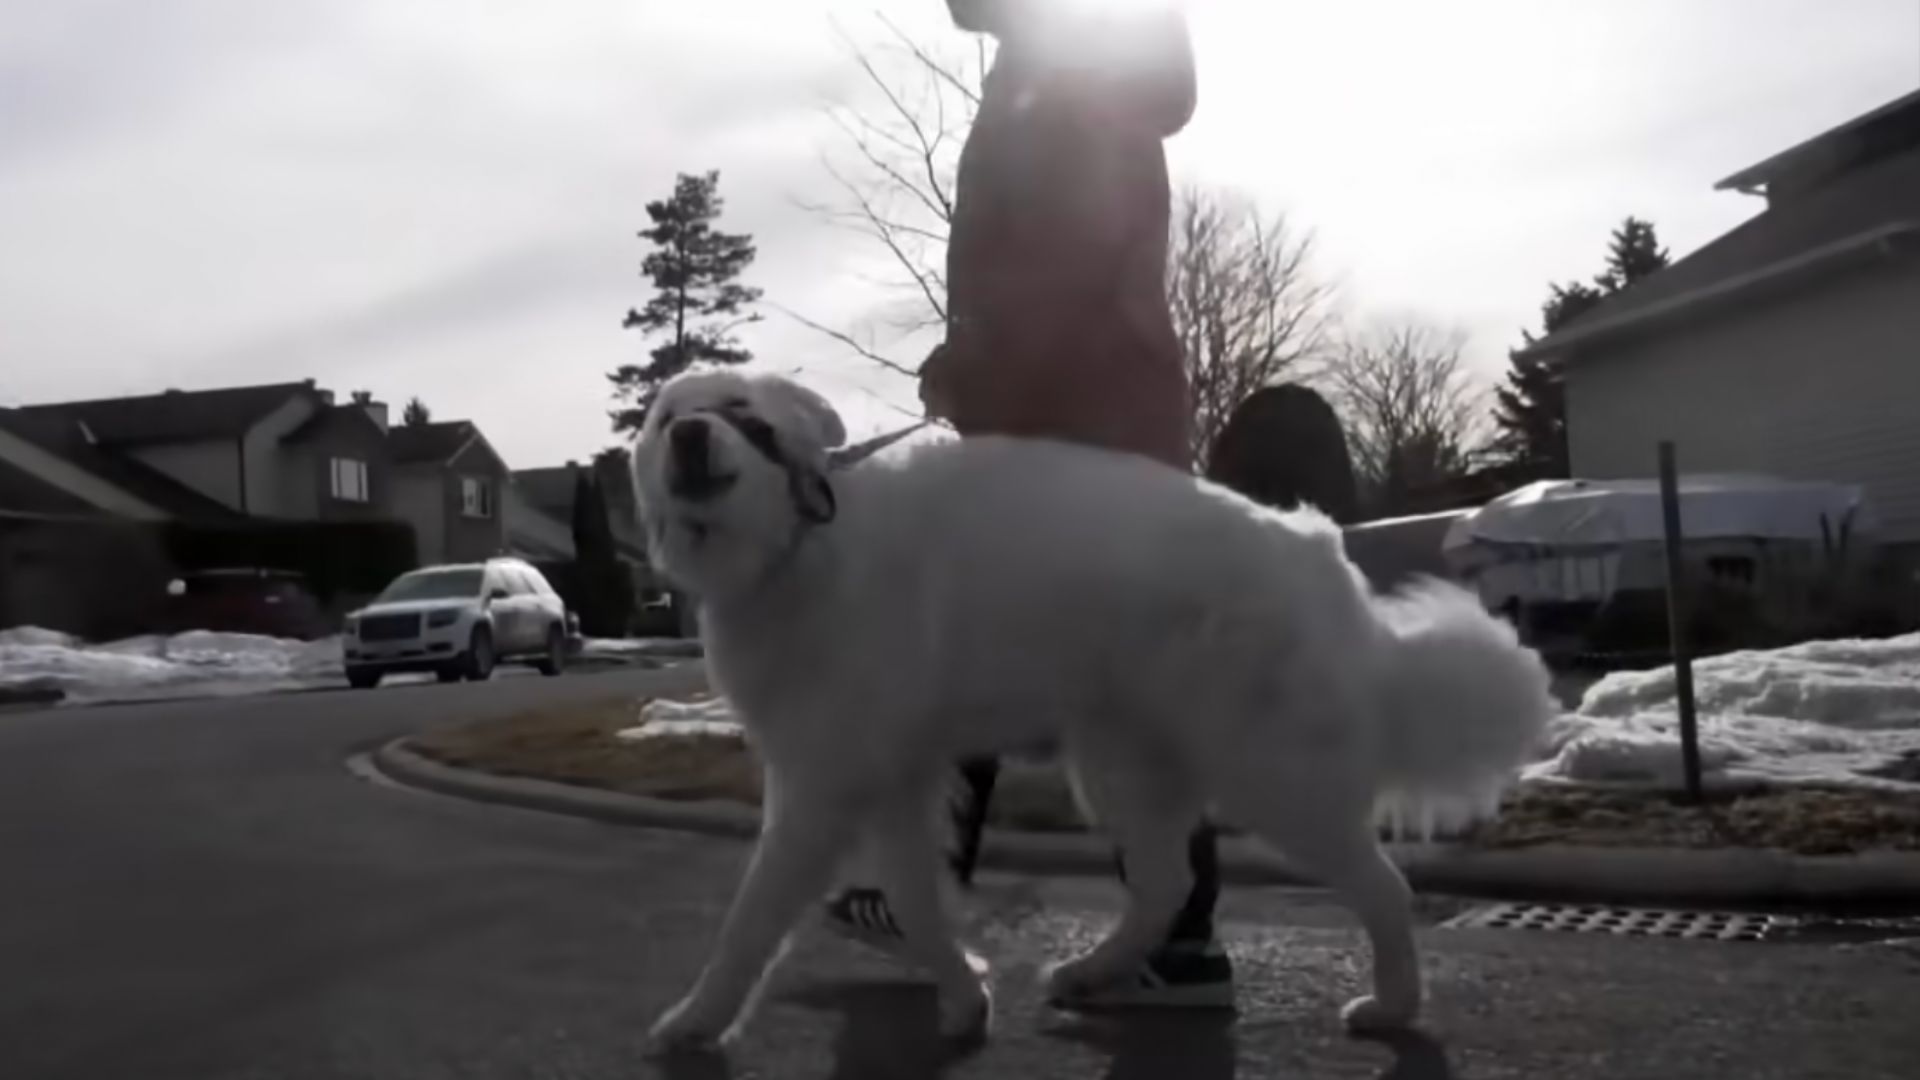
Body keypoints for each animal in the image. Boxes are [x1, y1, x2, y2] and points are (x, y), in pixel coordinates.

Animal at [633, 368, 1559, 1053]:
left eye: (742, 415)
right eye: (668, 417)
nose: (689, 436)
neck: (799, 546)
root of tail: (1323, 559)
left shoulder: (820, 788)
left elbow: (751, 920)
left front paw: (694, 1022)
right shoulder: (889, 782)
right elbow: (918, 901)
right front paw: (963, 997)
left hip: (1268, 779)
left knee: (1382, 886)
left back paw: (1391, 1007)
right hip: (1123, 764)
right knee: (1165, 884)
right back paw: (1094, 971)